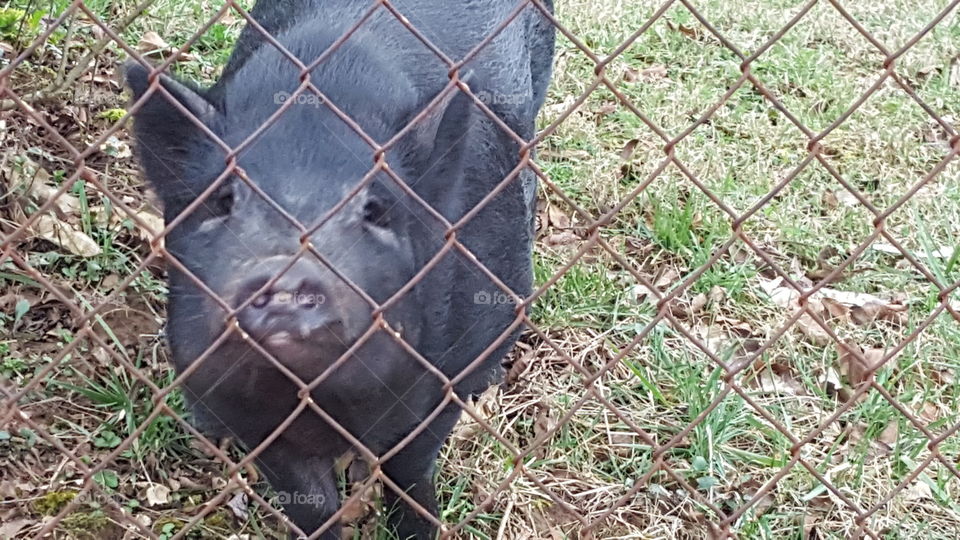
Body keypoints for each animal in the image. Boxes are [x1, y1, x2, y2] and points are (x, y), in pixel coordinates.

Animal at [125, 0, 554, 538]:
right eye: (224, 201)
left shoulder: (451, 370)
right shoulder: (249, 419)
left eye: (375, 210)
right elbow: (309, 504)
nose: (283, 277)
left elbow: (409, 469)